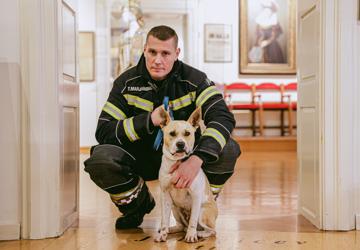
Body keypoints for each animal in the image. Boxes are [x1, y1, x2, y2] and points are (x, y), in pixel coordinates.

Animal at [154, 107, 218, 242]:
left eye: (187, 133)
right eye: (172, 134)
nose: (180, 144)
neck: (178, 161)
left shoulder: (196, 195)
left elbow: (193, 220)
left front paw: (191, 235)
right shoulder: (165, 195)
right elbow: (164, 219)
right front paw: (163, 234)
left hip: (203, 212)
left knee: (212, 230)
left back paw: (200, 233)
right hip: (175, 209)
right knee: (181, 226)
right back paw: (171, 229)